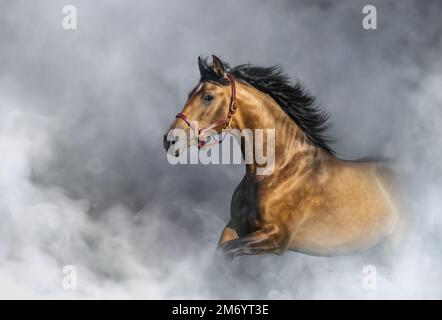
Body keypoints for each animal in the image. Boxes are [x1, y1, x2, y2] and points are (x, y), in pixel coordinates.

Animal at [163, 54, 404, 260]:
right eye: (190, 94)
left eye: (208, 97)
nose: (170, 140)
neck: (277, 170)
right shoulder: (235, 227)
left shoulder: (275, 237)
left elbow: (226, 252)